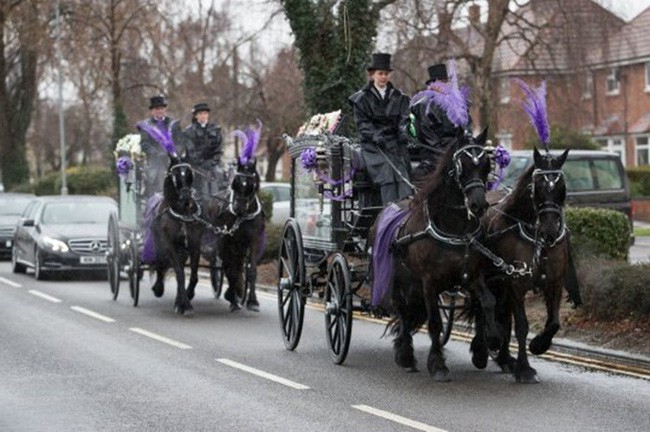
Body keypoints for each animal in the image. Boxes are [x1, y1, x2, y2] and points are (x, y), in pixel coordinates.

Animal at [149, 154, 201, 316]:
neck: (182, 215)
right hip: (160, 244)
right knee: (161, 265)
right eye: (175, 174)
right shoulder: (170, 246)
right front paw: (185, 304)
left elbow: (193, 275)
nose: (185, 196)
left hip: (183, 251)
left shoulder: (194, 246)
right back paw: (159, 288)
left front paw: (187, 297)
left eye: (189, 173)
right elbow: (179, 274)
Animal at [372, 128, 498, 382]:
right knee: (402, 311)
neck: (454, 228)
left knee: (407, 313)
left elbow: (488, 303)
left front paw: (487, 345)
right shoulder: (429, 283)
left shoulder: (472, 275)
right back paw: (406, 355)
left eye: (486, 165)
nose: (479, 205)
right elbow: (435, 324)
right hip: (397, 281)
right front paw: (438, 365)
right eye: (462, 165)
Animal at [480, 148, 568, 382]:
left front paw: (538, 345)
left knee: (501, 315)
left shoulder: (555, 282)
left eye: (562, 188)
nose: (549, 232)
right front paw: (525, 368)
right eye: (537, 187)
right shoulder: (515, 284)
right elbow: (521, 326)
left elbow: (554, 323)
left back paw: (502, 357)